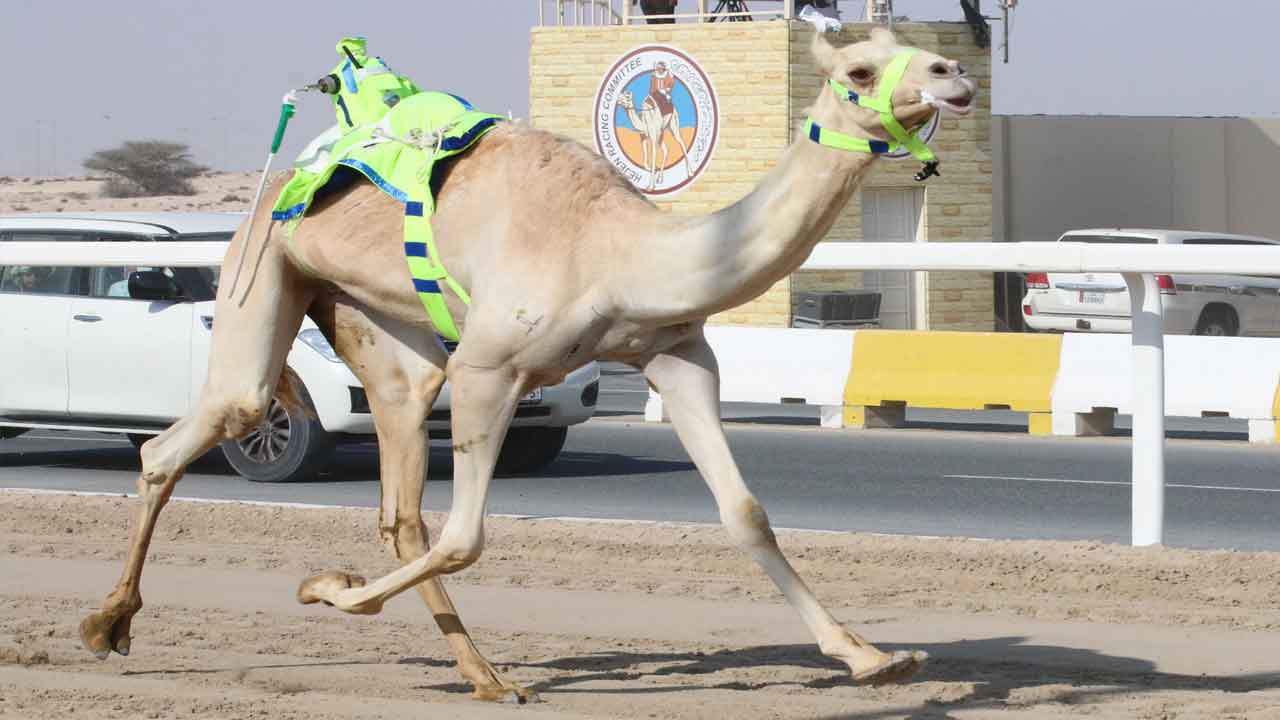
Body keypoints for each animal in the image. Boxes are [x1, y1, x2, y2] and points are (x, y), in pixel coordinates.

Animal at [78, 29, 976, 700]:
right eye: (860, 70)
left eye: (918, 48)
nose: (955, 76)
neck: (620, 251)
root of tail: (277, 186)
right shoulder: (491, 368)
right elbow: (467, 536)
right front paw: (322, 589)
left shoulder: (676, 353)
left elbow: (745, 511)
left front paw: (874, 657)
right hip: (264, 267)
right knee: (202, 426)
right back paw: (105, 624)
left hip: (382, 329)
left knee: (401, 488)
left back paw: (486, 675)